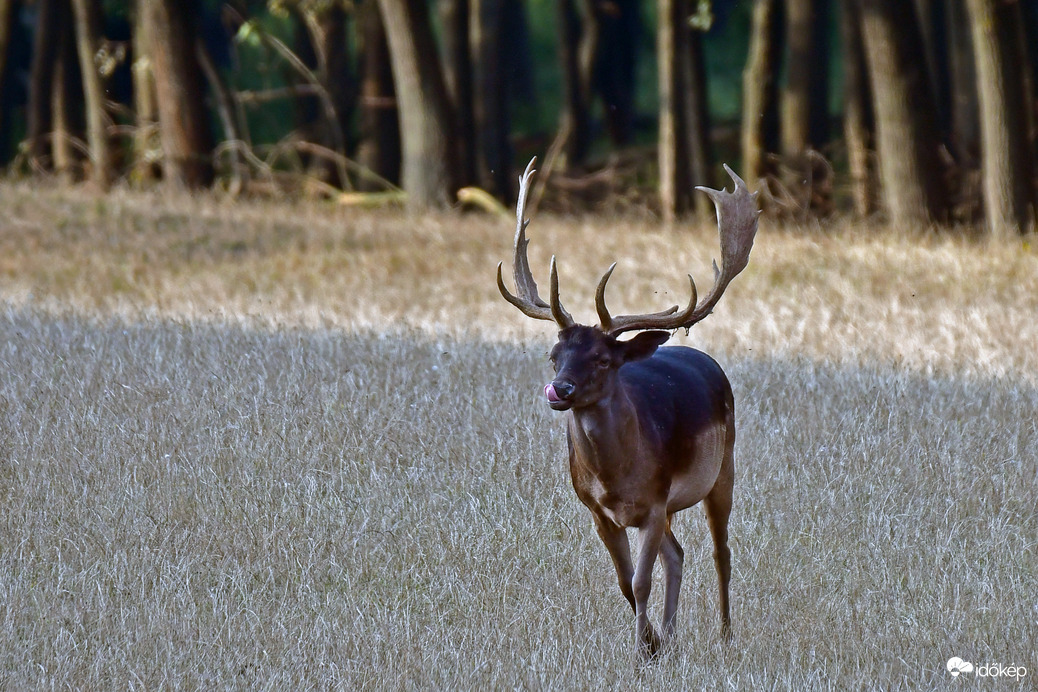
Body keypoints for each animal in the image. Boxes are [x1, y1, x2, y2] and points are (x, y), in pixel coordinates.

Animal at [498, 156, 759, 659]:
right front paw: (653, 644)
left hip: (725, 466)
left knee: (722, 551)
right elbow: (625, 581)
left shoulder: (655, 502)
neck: (615, 479)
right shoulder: (598, 511)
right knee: (678, 554)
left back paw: (725, 634)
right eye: (554, 355)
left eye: (602, 358)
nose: (558, 389)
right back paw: (673, 636)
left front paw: (643, 652)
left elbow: (640, 582)